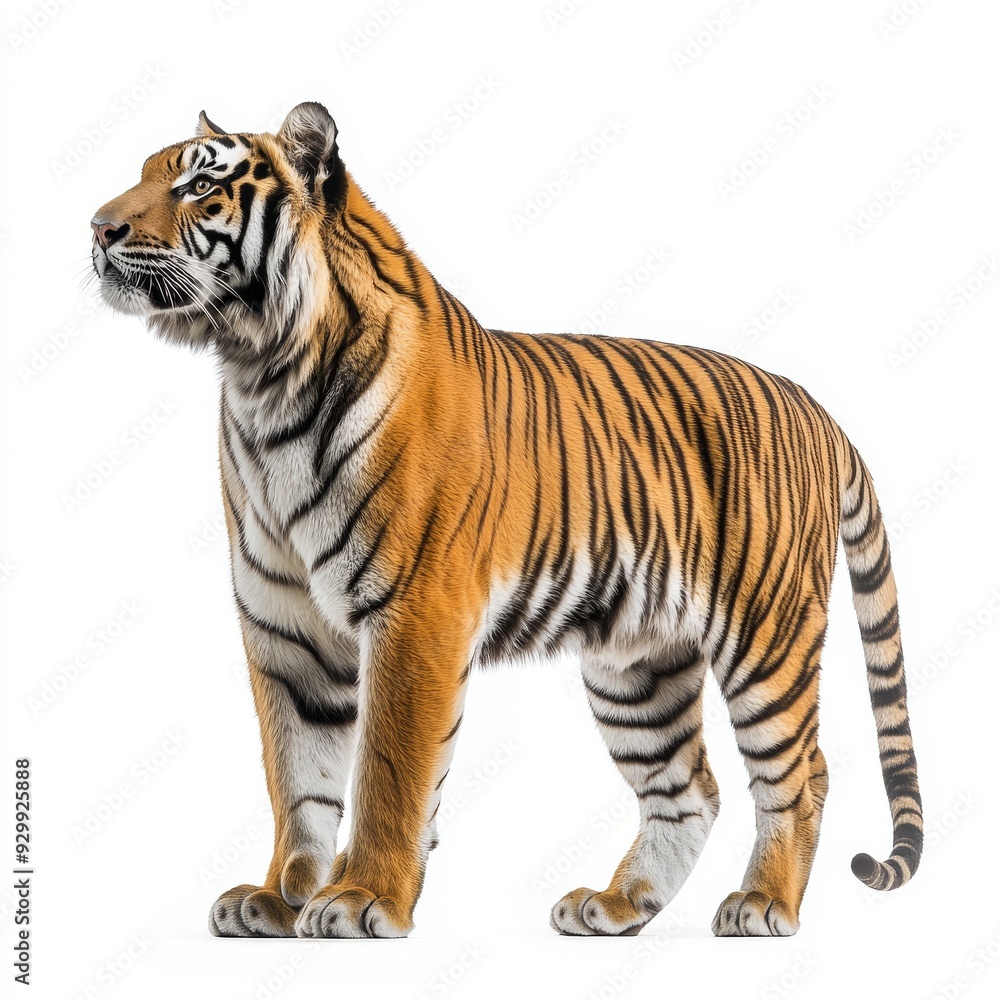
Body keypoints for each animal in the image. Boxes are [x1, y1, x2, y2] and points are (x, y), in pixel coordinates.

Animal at [89, 102, 922, 940]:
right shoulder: (284, 628)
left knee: (802, 773)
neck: (263, 376)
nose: (98, 228)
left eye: (200, 186)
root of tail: (815, 408)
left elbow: (389, 772)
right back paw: (616, 905)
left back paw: (762, 903)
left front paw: (361, 899)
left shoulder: (415, 613)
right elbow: (297, 780)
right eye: (144, 172)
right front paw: (279, 897)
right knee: (689, 789)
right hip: (636, 664)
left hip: (765, 634)